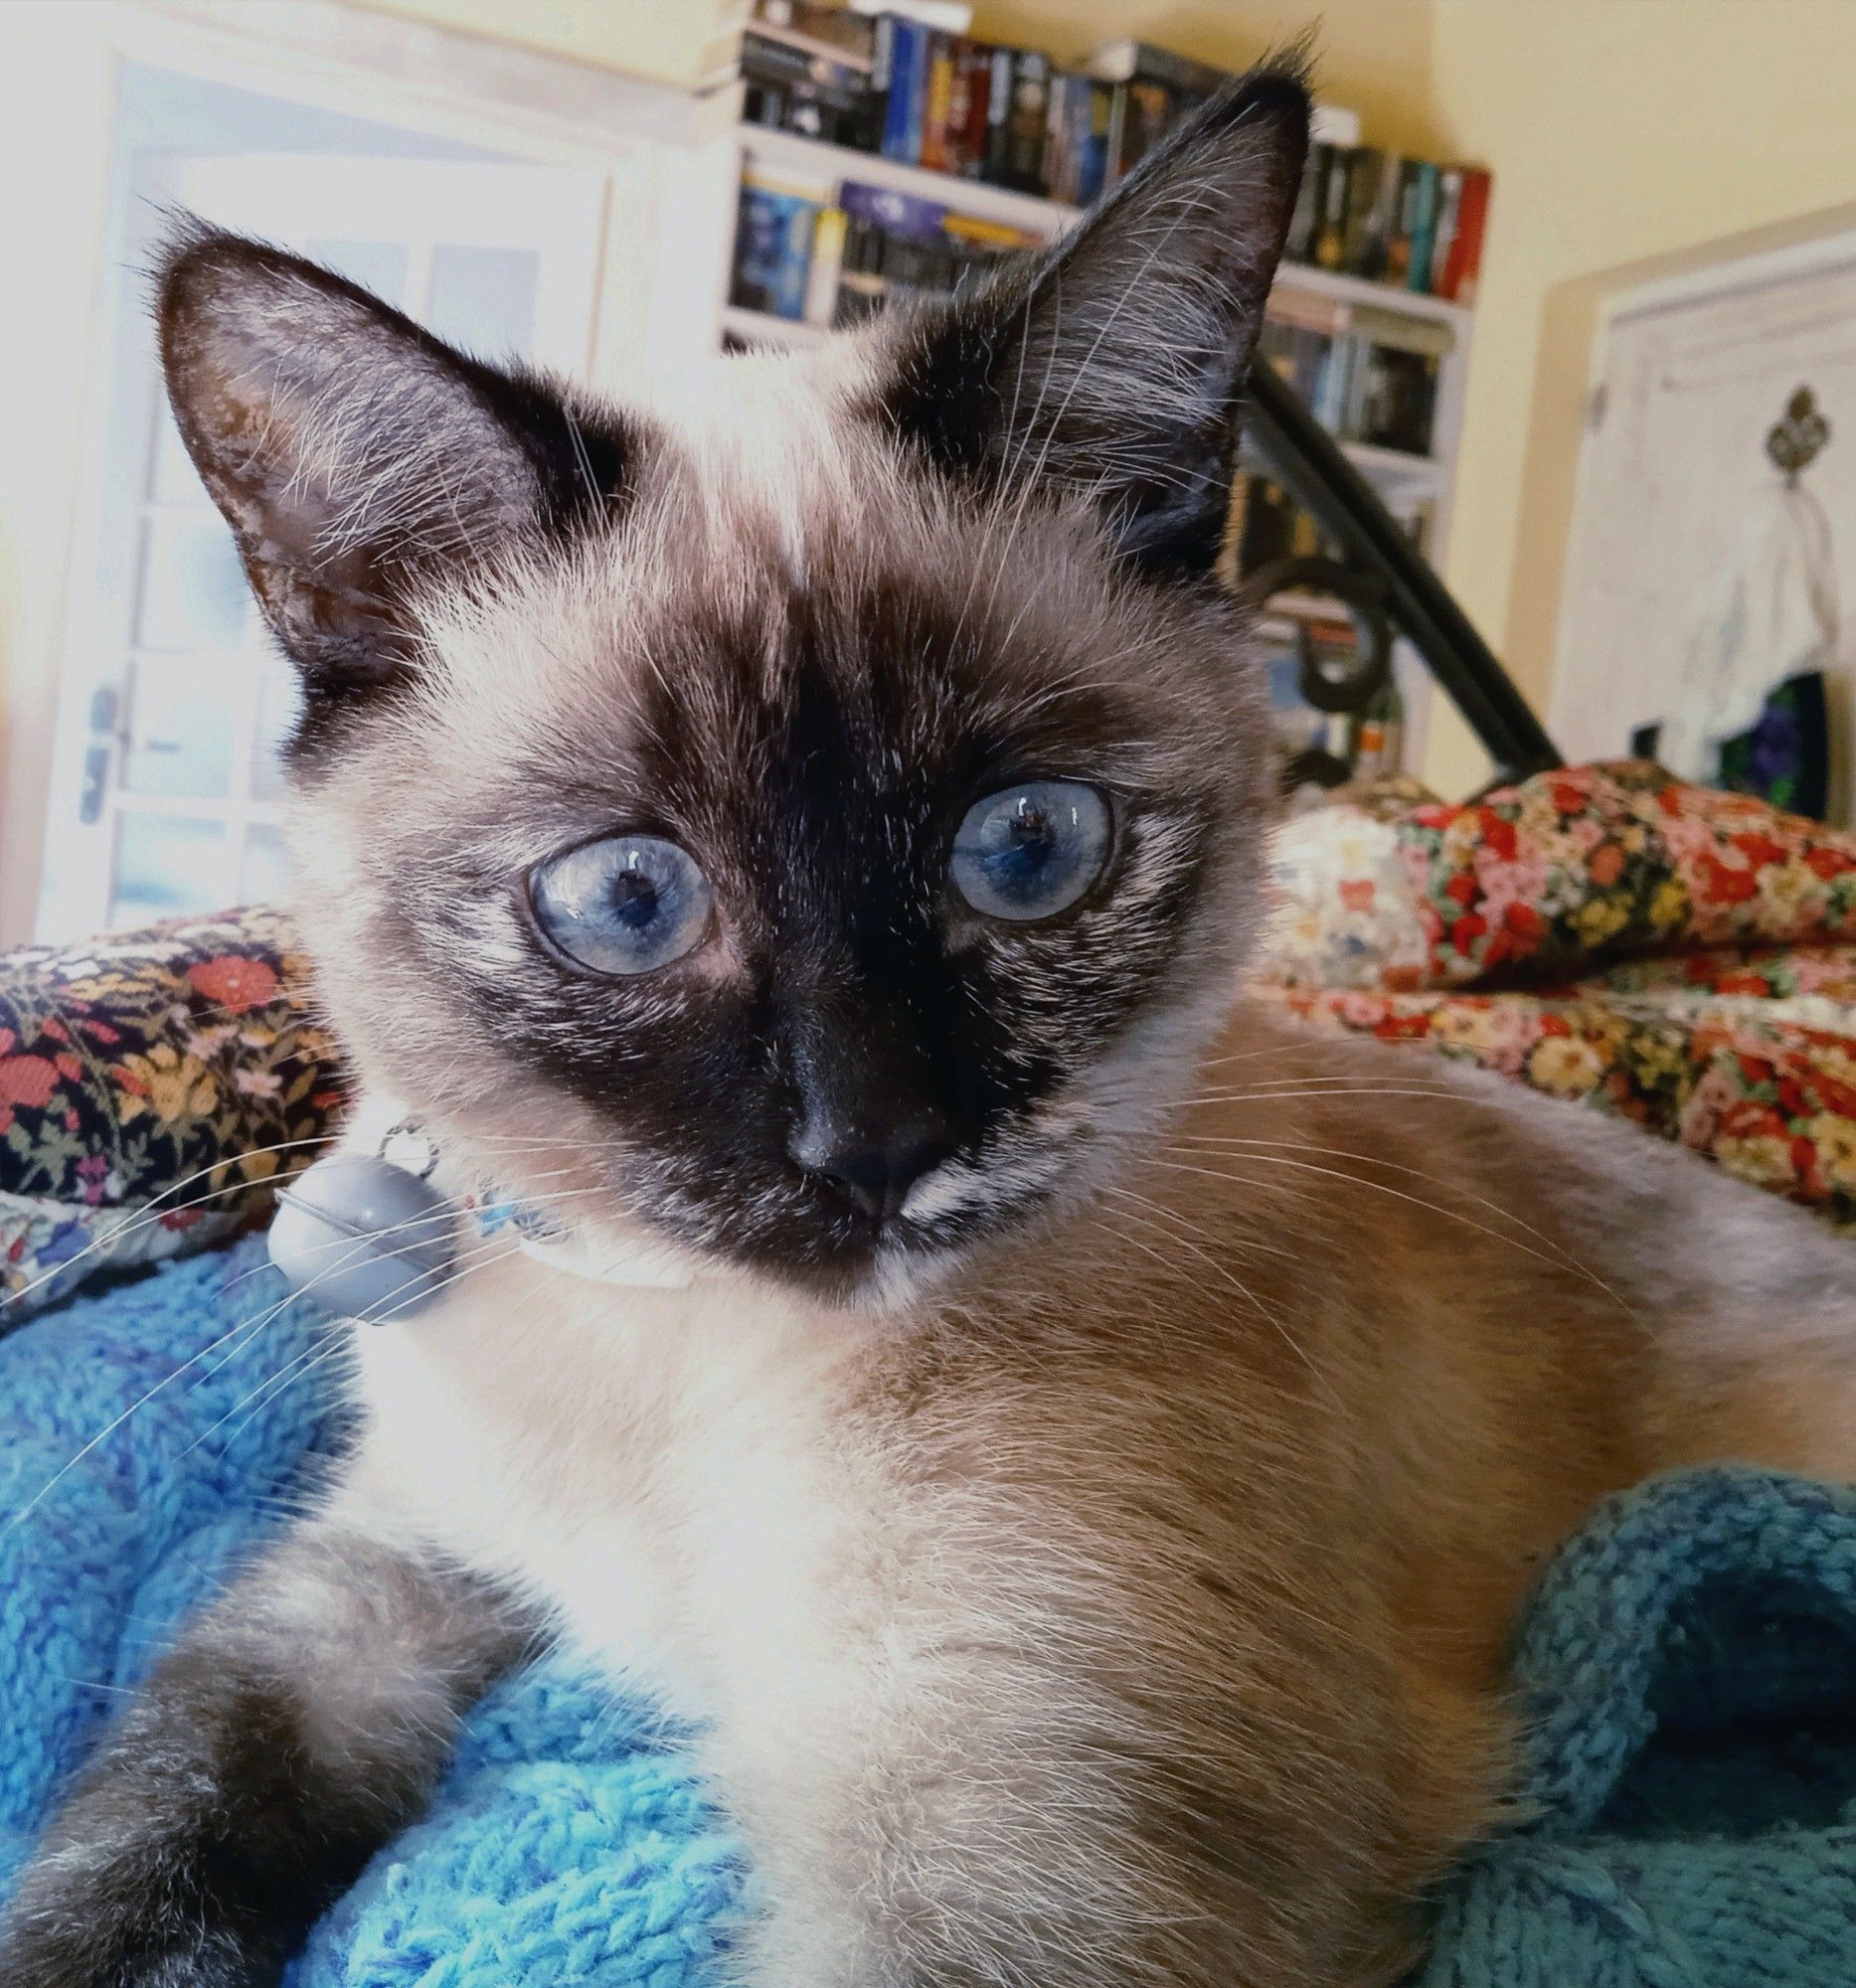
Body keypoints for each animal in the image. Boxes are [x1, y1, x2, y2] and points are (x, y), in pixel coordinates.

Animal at [3, 62, 1856, 1988]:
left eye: (1024, 850)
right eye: (628, 900)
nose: (874, 1142)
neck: (674, 1361)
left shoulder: (1003, 1842)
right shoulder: (382, 1576)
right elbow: (151, 1812)